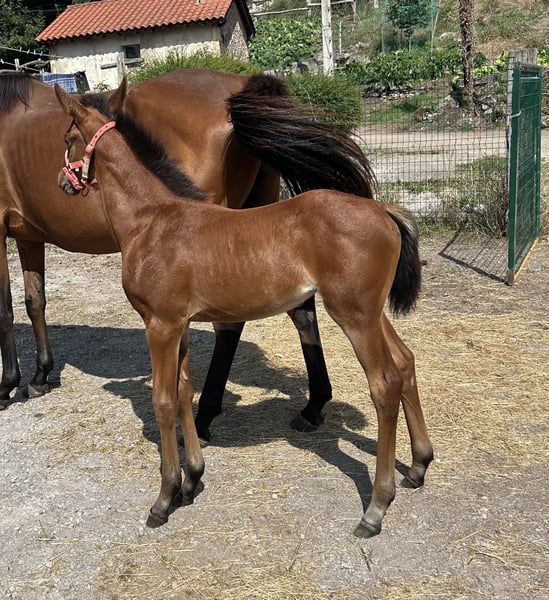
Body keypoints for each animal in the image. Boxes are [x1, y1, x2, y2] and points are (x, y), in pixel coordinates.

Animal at [0, 69, 375, 441]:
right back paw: (312, 407)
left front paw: (8, 385)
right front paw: (40, 376)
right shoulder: (28, 234)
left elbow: (6, 309)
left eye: (67, 138)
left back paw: (206, 414)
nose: (61, 181)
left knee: (232, 323)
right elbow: (35, 301)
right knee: (302, 308)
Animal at [54, 79, 433, 538]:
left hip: (355, 316)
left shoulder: (159, 324)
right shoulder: (179, 324)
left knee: (385, 384)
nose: (61, 183)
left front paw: (165, 498)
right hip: (372, 313)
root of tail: (383, 209)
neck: (151, 220)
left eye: (68, 138)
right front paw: (192, 480)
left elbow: (162, 400)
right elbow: (184, 392)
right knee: (407, 361)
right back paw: (418, 466)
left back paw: (376, 508)